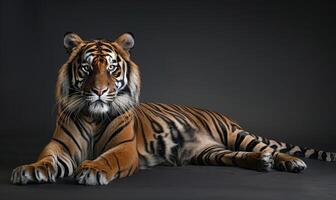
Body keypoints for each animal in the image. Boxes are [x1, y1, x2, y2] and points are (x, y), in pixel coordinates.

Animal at [10, 32, 336, 185]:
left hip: (236, 135)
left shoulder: (123, 148)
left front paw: (92, 169)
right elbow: (46, 158)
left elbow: (107, 159)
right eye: (88, 67)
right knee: (239, 156)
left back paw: (289, 162)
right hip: (210, 152)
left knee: (268, 147)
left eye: (112, 68)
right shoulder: (60, 145)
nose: (100, 91)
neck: (94, 116)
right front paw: (29, 170)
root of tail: (222, 114)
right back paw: (260, 163)